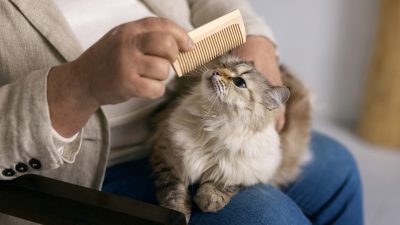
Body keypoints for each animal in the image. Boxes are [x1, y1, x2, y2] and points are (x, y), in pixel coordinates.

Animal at [148, 54, 310, 220]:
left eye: (239, 82)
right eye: (223, 65)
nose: (216, 72)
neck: (214, 123)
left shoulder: (251, 170)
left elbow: (225, 183)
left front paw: (208, 200)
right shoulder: (167, 154)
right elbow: (173, 193)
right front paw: (179, 214)